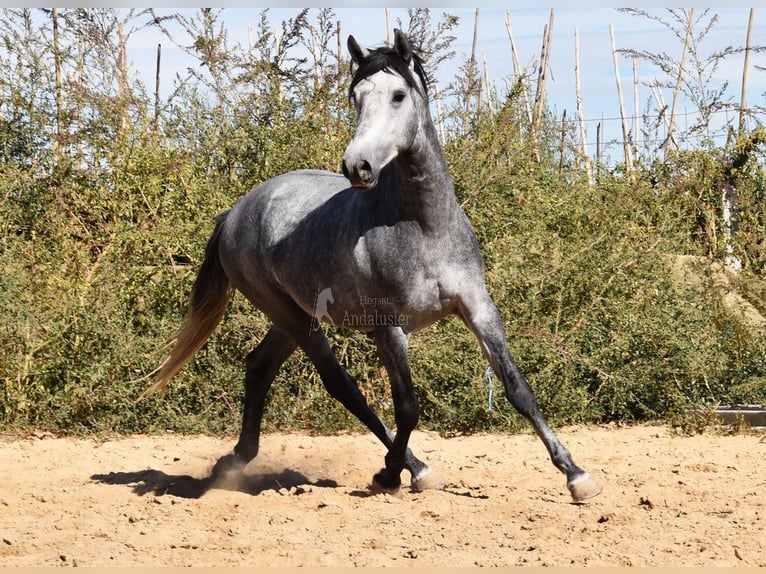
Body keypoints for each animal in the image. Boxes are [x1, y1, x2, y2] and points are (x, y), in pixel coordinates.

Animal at [141, 29, 604, 502]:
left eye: (399, 95)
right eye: (356, 96)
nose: (357, 166)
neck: (424, 227)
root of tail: (235, 214)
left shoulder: (478, 308)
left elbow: (517, 389)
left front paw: (576, 476)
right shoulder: (389, 326)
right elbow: (408, 405)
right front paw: (389, 475)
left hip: (295, 315)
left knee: (259, 368)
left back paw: (236, 460)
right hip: (290, 316)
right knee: (342, 387)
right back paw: (412, 469)